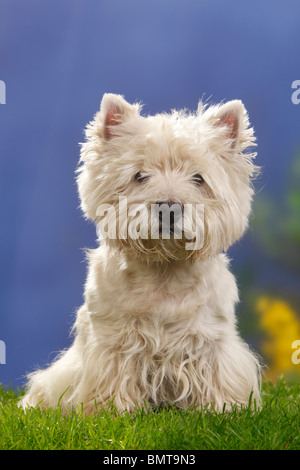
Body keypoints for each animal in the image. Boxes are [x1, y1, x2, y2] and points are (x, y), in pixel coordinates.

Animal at [20, 93, 260, 414]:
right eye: (139, 176)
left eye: (198, 178)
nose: (169, 207)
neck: (164, 269)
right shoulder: (111, 339)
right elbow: (113, 374)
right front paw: (111, 410)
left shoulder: (212, 338)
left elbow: (218, 374)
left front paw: (224, 408)